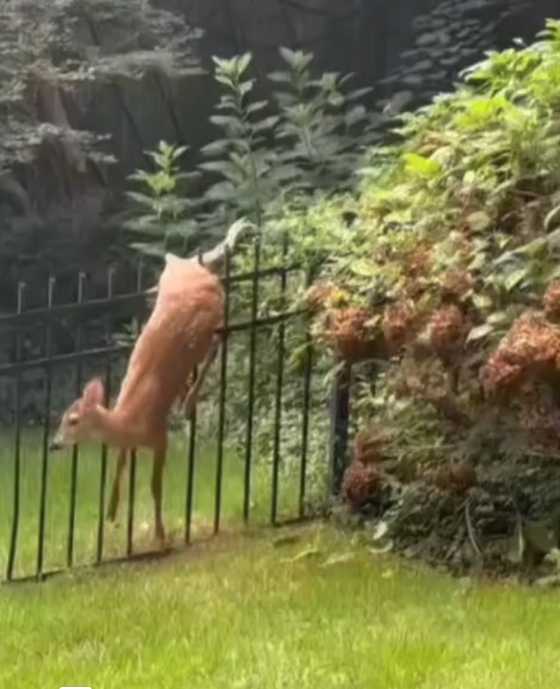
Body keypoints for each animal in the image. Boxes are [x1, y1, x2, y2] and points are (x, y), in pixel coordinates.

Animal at [49, 219, 251, 545]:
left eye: (73, 420)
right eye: (62, 418)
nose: (54, 444)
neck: (128, 421)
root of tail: (184, 265)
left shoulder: (159, 436)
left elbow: (156, 485)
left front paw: (160, 533)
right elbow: (119, 464)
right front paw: (111, 513)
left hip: (214, 312)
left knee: (218, 343)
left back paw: (189, 401)